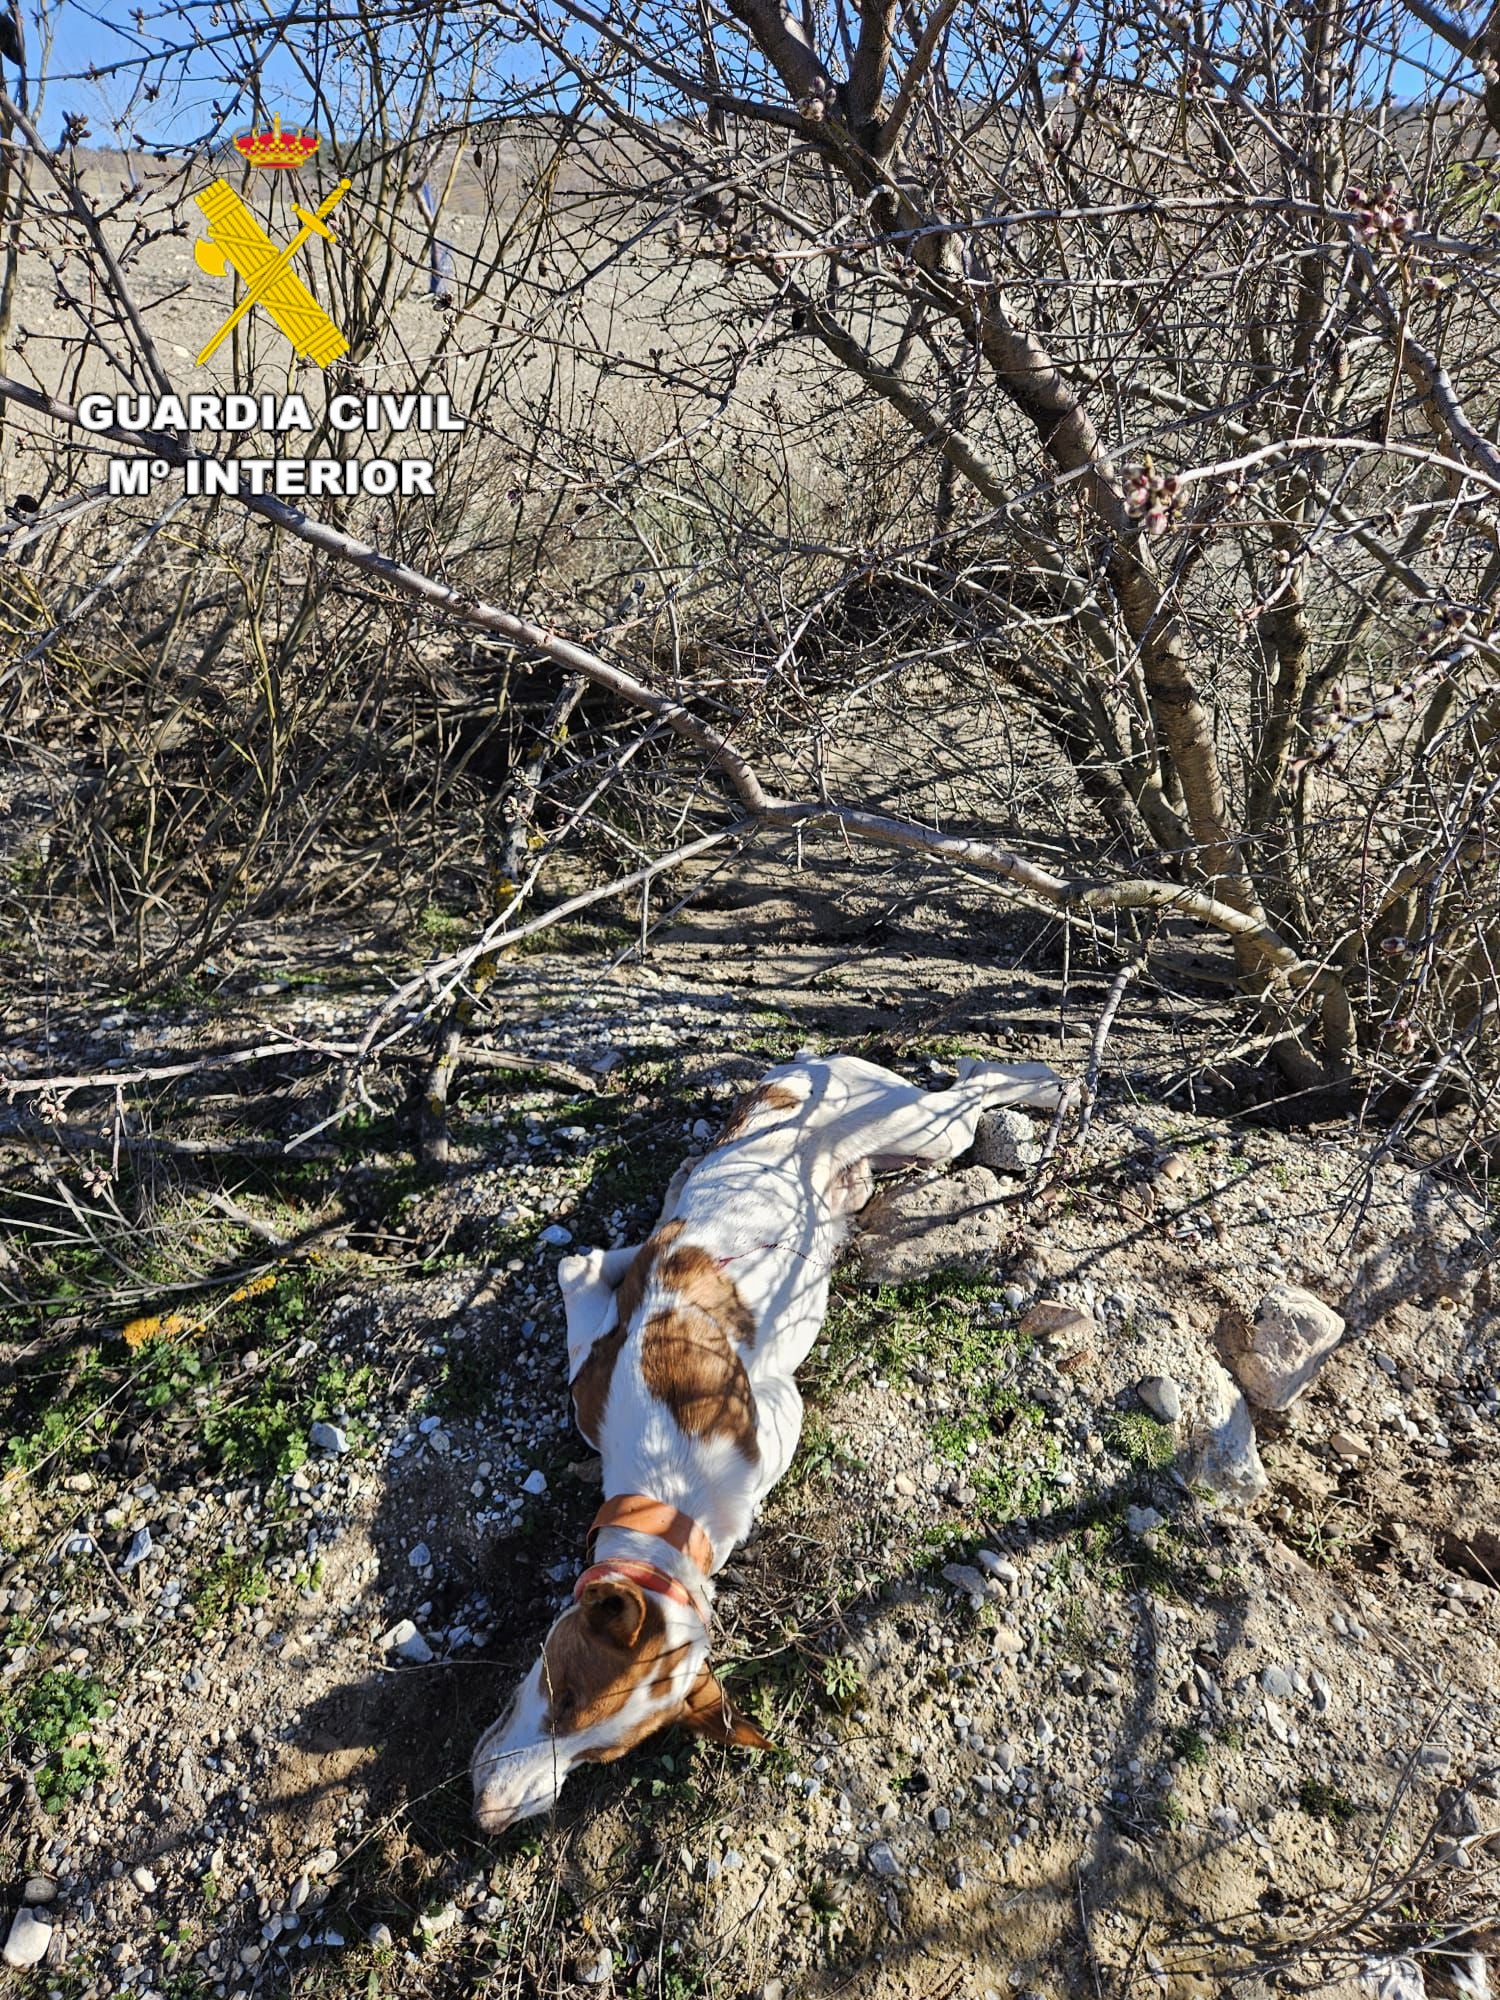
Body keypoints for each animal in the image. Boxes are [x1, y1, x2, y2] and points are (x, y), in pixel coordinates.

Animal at [470, 1056, 1072, 1832]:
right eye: (561, 1694)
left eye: (590, 1748)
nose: (488, 1817)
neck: (673, 1493)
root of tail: (805, 1065)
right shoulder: (594, 1372)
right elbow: (587, 1263)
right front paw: (632, 1249)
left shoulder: (768, 1403)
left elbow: (591, 1268)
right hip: (894, 1148)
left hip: (926, 1132)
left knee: (974, 1090)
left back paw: (1045, 1084)